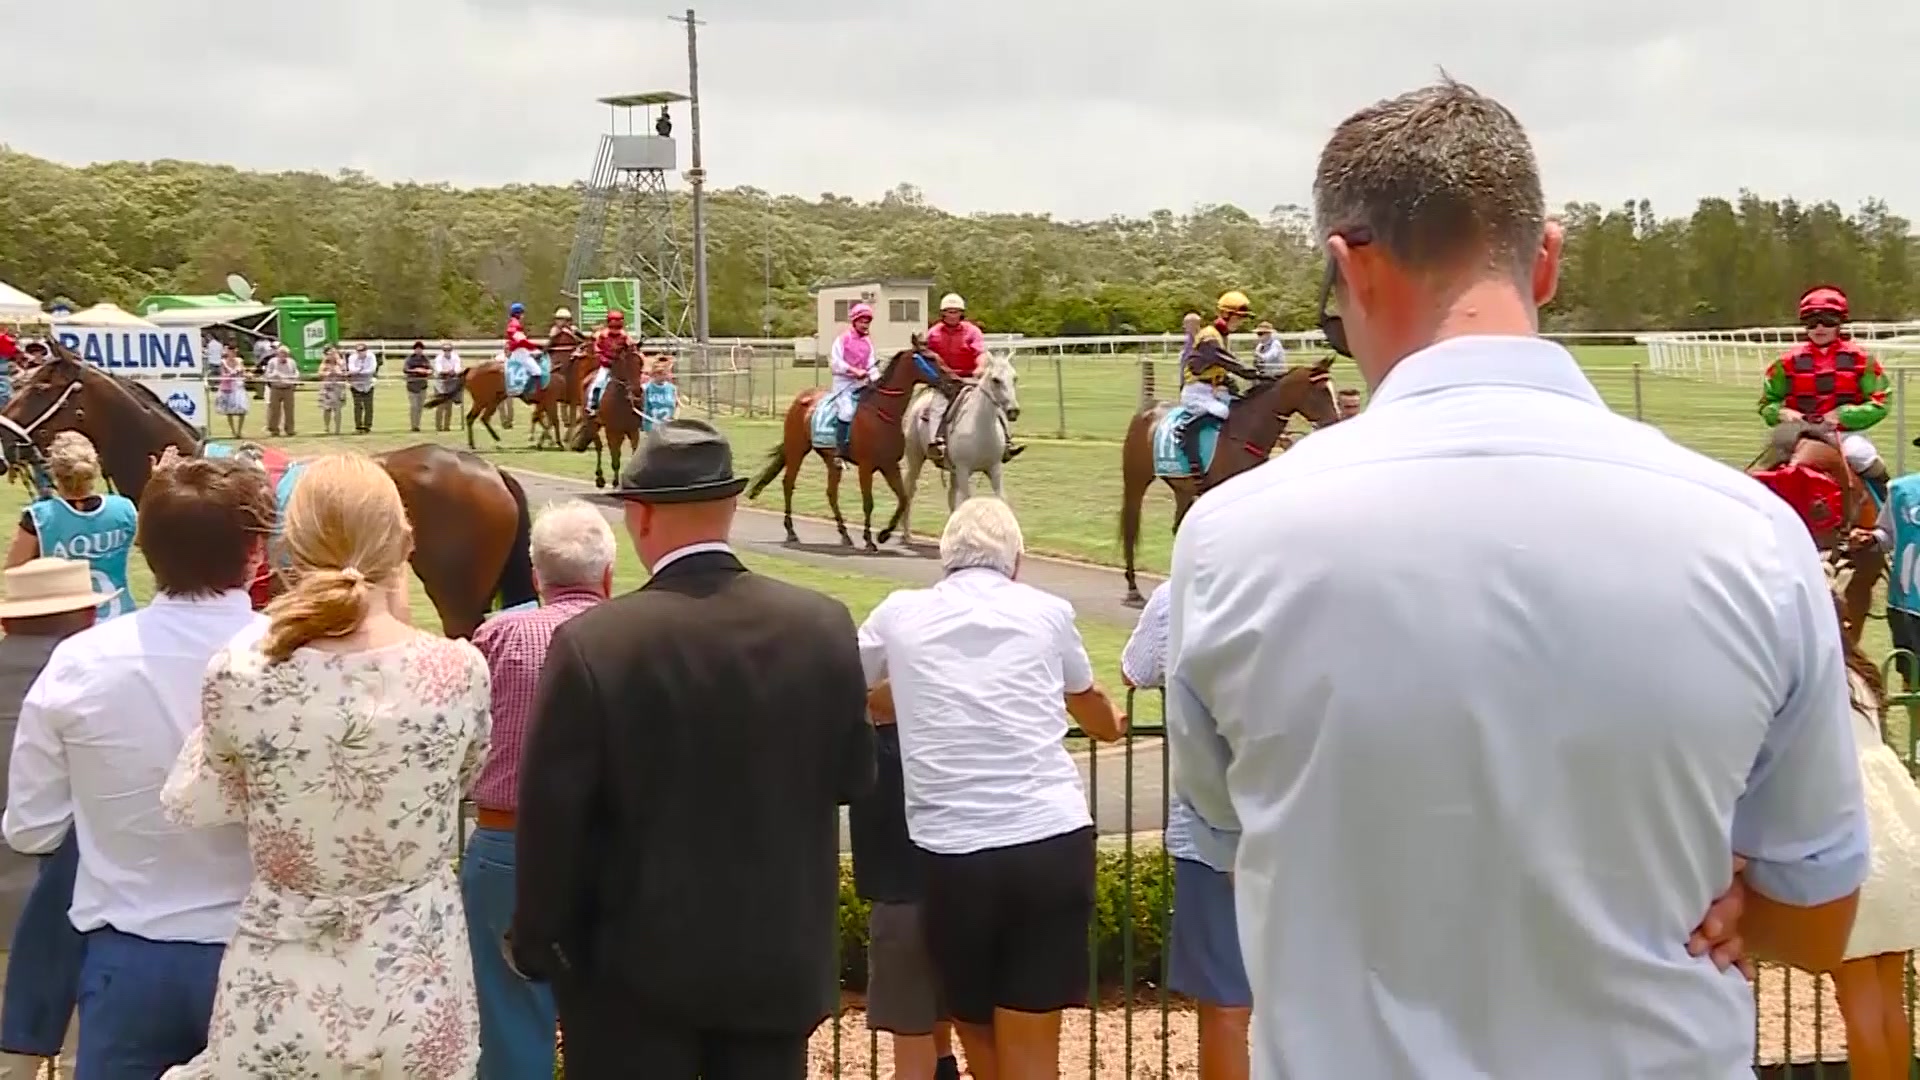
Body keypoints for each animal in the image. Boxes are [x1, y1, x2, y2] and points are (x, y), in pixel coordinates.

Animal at [426, 357, 564, 449]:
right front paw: (557, 442)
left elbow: (541, 418)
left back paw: (476, 443)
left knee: (479, 418)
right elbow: (552, 420)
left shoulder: (543, 403)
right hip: (484, 400)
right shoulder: (549, 401)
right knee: (477, 417)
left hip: (492, 400)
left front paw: (547, 441)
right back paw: (490, 439)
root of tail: (470, 370)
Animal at [748, 340, 960, 549]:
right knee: (788, 483)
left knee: (831, 493)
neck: (881, 412)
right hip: (797, 450)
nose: (954, 380)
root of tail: (801, 399)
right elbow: (868, 502)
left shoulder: (890, 465)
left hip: (831, 460)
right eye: (931, 358)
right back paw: (791, 531)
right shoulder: (866, 467)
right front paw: (869, 540)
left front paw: (884, 534)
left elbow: (903, 498)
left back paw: (845, 534)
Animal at [1121, 357, 1344, 599]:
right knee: (1130, 527)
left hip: (1183, 488)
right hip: (1136, 480)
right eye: (1322, 391)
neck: (1245, 432)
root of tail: (1145, 410)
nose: (1337, 422)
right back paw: (1133, 587)